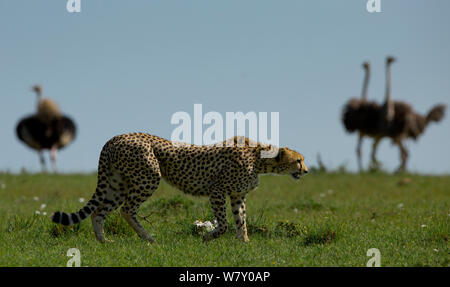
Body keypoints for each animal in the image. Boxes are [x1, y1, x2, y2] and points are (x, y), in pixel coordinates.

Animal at [51, 133, 308, 243]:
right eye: (298, 160)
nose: (306, 171)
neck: (259, 158)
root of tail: (116, 137)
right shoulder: (216, 190)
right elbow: (224, 223)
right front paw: (207, 237)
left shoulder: (237, 195)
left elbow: (240, 220)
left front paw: (244, 243)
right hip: (148, 177)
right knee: (126, 210)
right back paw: (148, 238)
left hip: (118, 182)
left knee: (99, 211)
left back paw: (104, 242)